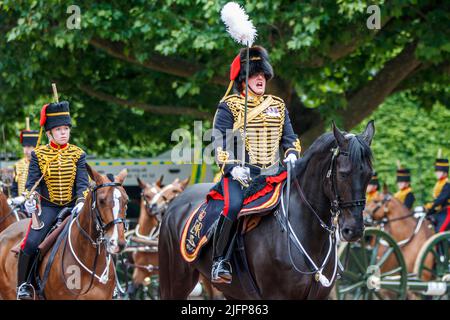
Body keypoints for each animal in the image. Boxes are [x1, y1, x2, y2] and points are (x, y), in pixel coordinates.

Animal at [160, 121, 374, 298]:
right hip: (175, 281)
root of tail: (176, 202)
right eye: (343, 174)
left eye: (370, 175)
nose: (353, 230)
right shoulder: (277, 295)